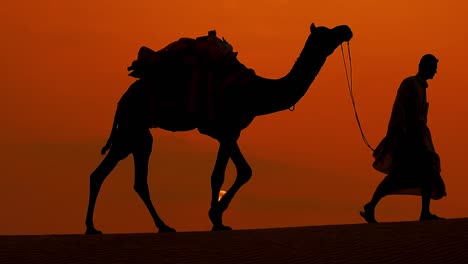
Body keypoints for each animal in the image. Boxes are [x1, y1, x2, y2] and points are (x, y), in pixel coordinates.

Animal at [86, 22, 352, 233]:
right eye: (326, 33)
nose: (346, 29)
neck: (256, 93)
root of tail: (122, 100)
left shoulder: (230, 132)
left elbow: (239, 171)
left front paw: (218, 217)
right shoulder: (226, 129)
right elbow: (225, 174)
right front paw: (215, 218)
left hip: (134, 134)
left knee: (117, 176)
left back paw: (136, 226)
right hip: (133, 127)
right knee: (122, 176)